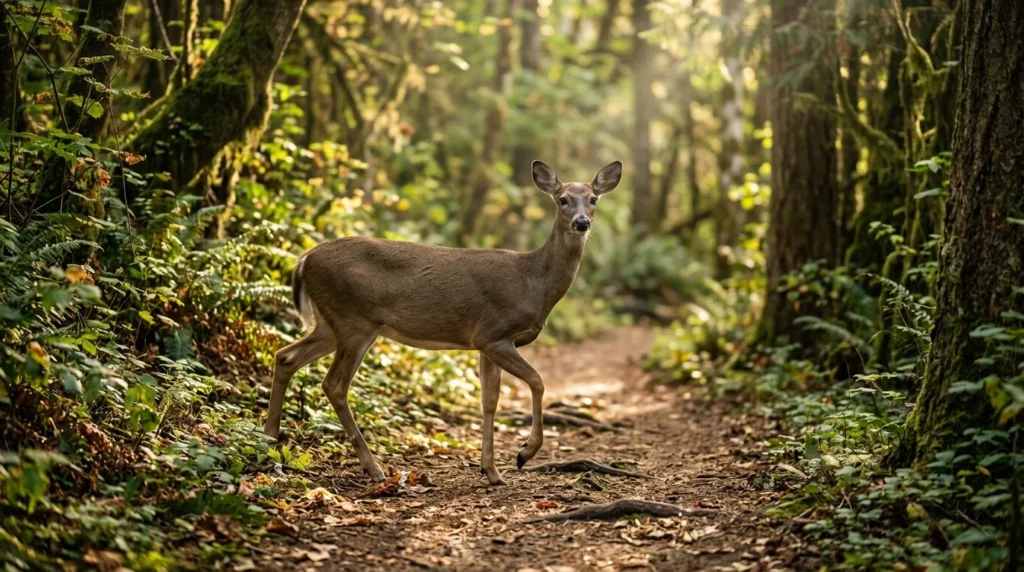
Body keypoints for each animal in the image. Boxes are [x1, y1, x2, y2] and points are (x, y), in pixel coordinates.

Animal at [263, 160, 622, 485]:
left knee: (286, 356)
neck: (533, 282)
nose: (581, 223)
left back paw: (268, 440)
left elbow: (489, 401)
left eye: (593, 199)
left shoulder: (487, 345)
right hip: (354, 320)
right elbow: (537, 381)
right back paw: (373, 468)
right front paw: (523, 454)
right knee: (334, 384)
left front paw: (491, 472)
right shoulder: (492, 333)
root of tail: (304, 260)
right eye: (562, 199)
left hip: (330, 323)